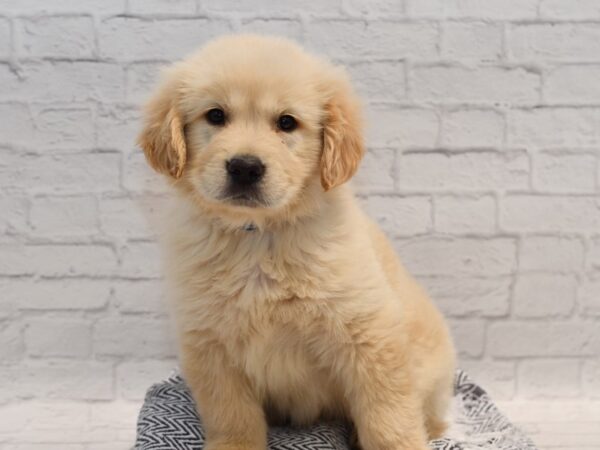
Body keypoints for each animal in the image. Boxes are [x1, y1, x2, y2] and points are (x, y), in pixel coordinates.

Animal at [137, 35, 454, 450]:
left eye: (286, 122)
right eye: (216, 116)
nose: (244, 167)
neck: (257, 238)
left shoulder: (369, 332)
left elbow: (388, 413)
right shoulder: (209, 345)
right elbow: (231, 415)